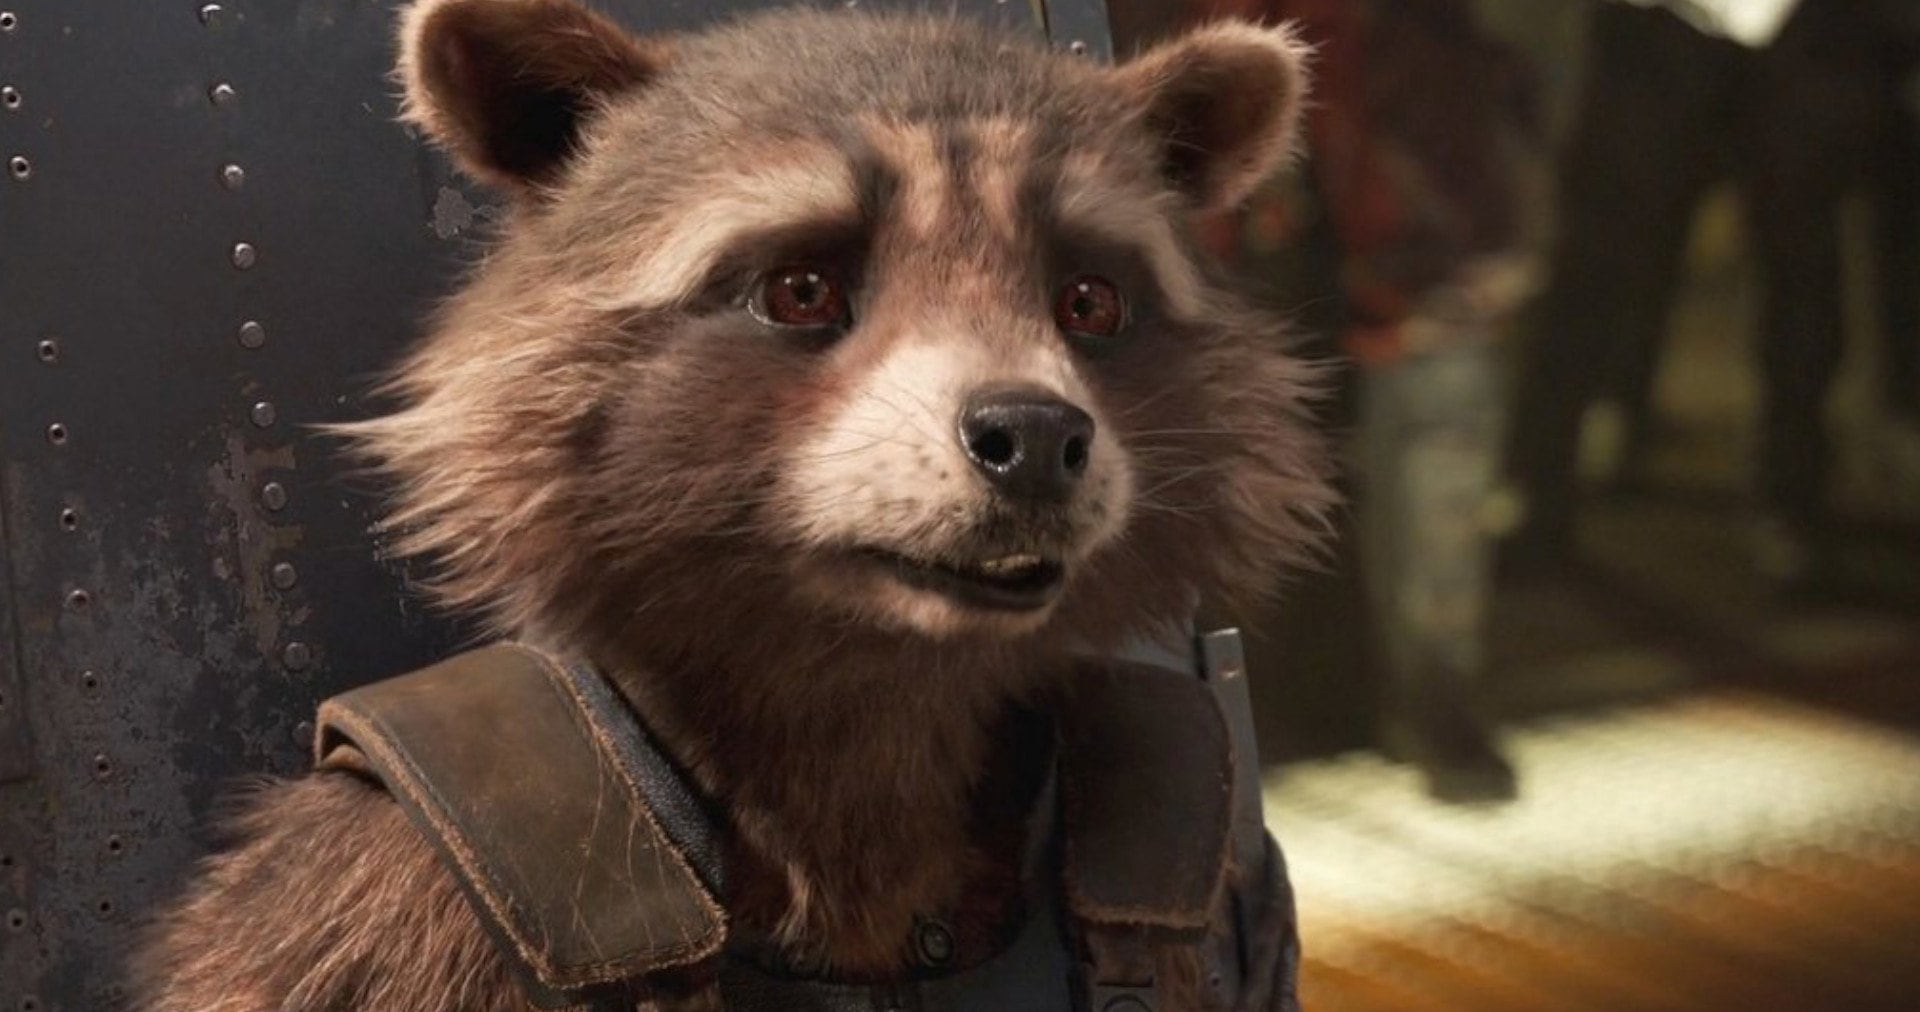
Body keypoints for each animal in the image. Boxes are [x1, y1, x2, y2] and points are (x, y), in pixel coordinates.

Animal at [132, 1, 1330, 1009]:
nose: (1036, 437)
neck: (878, 670)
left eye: (1089, 301)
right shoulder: (369, 890)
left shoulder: (1231, 871)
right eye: (802, 289)